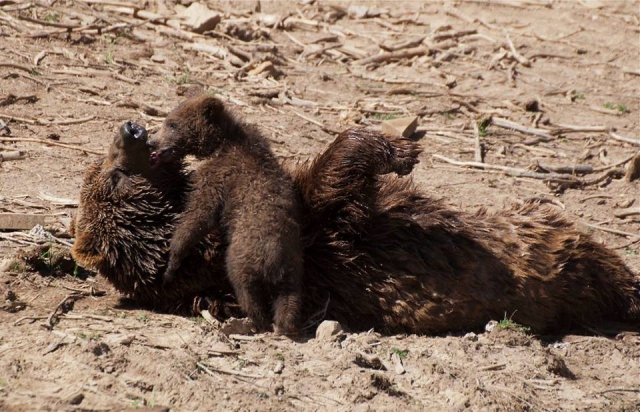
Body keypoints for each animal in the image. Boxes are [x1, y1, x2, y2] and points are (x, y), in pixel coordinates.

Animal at [72, 121, 640, 335]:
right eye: (113, 174)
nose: (129, 128)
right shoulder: (310, 226)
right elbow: (338, 172)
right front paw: (397, 148)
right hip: (575, 272)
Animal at [145, 94, 304, 334]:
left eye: (172, 124)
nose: (151, 142)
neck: (218, 144)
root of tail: (273, 259)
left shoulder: (218, 177)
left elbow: (199, 216)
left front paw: (171, 264)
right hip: (292, 270)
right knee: (289, 299)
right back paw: (285, 323)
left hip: (243, 256)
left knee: (245, 287)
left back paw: (255, 320)